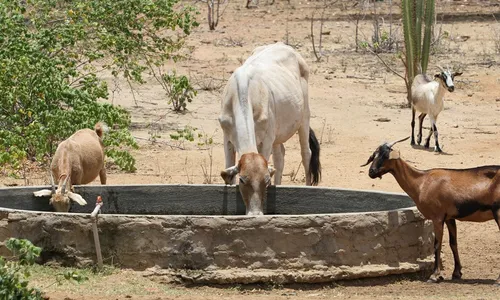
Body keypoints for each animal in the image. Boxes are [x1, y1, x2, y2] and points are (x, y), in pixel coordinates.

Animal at [220, 42, 322, 216]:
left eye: (266, 181)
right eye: (242, 179)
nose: (255, 214)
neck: (243, 93)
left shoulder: (266, 141)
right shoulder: (227, 138)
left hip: (304, 118)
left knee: (306, 153)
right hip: (277, 135)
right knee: (280, 157)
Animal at [362, 137, 498, 284]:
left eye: (385, 156)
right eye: (374, 155)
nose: (371, 172)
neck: (422, 181)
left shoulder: (437, 217)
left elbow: (437, 244)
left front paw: (434, 275)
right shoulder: (449, 217)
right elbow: (453, 243)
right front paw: (457, 273)